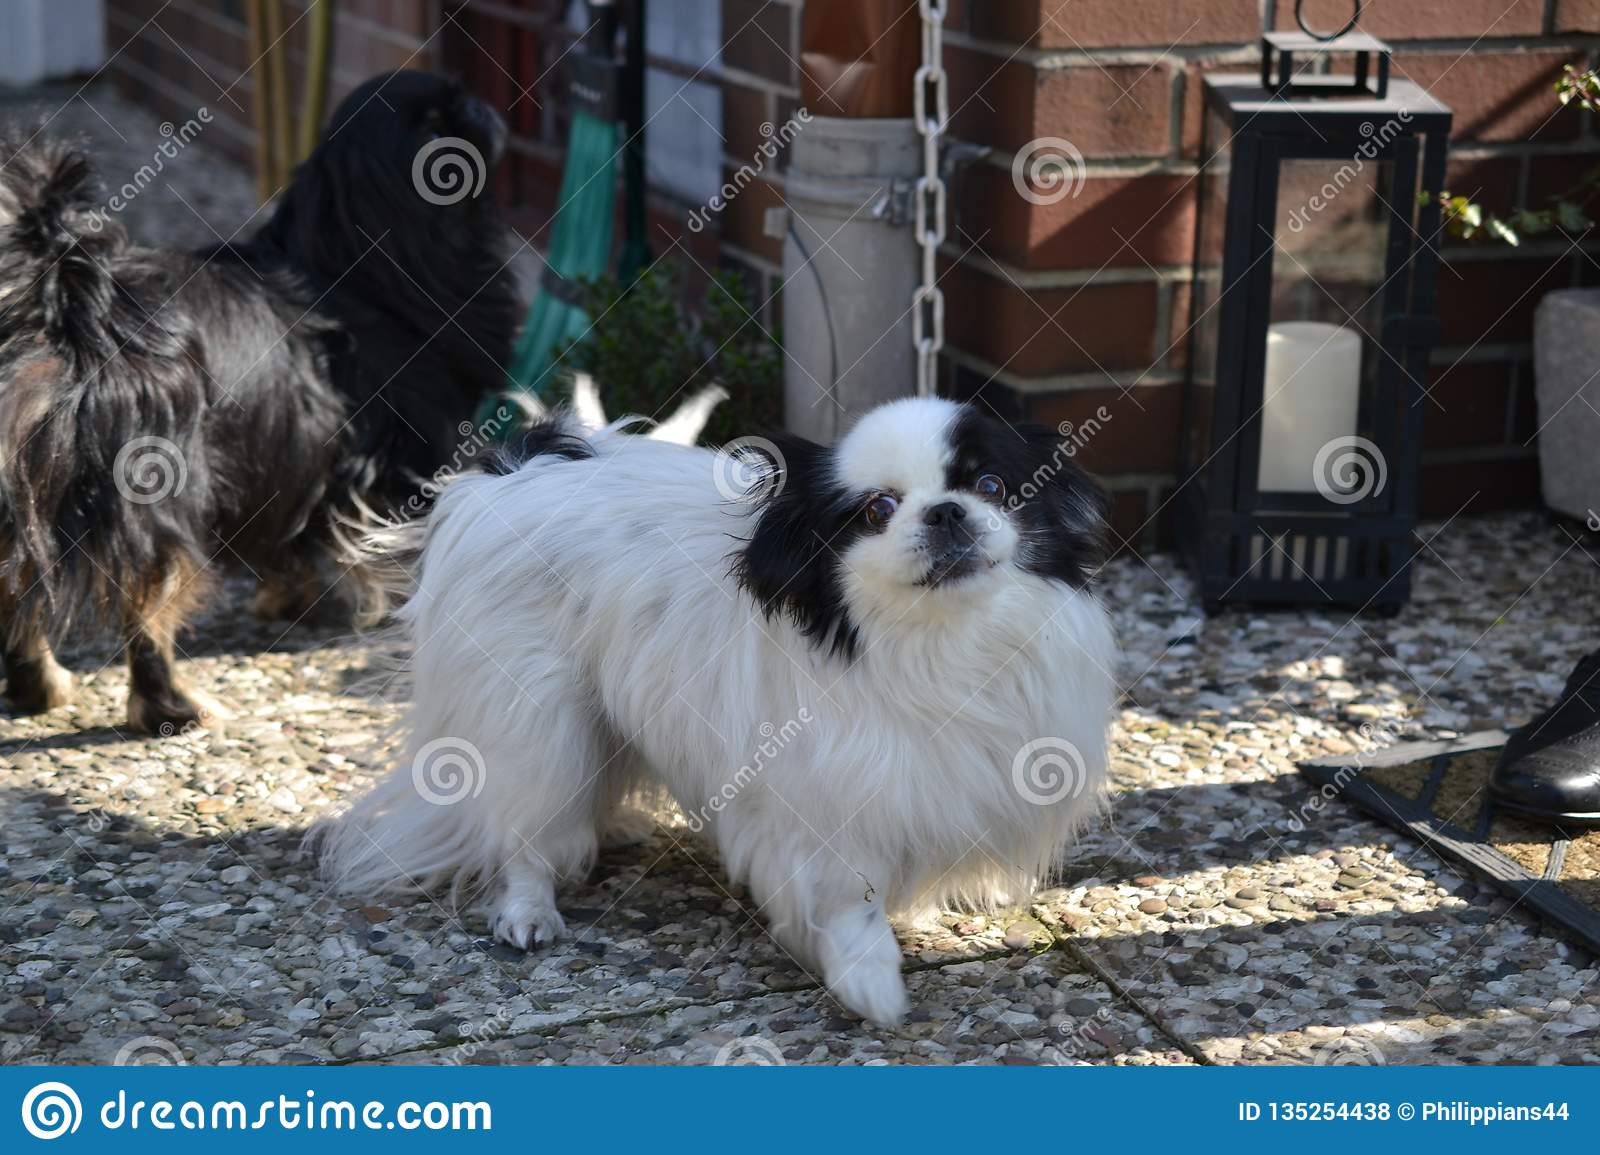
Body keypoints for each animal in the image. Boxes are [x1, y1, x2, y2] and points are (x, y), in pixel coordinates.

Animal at [0, 71, 515, 732]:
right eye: (444, 112)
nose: (487, 109)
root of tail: (67, 310)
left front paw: (287, 600)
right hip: (158, 488)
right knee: (146, 608)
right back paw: (173, 708)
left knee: (19, 590)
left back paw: (39, 686)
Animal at [320, 393, 1120, 1017]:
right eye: (877, 510)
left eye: (991, 483)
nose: (946, 511)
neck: (939, 647)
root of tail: (522, 467)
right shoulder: (819, 809)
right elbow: (848, 903)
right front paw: (871, 983)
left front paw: (912, 916)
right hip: (541, 723)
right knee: (524, 826)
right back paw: (529, 913)